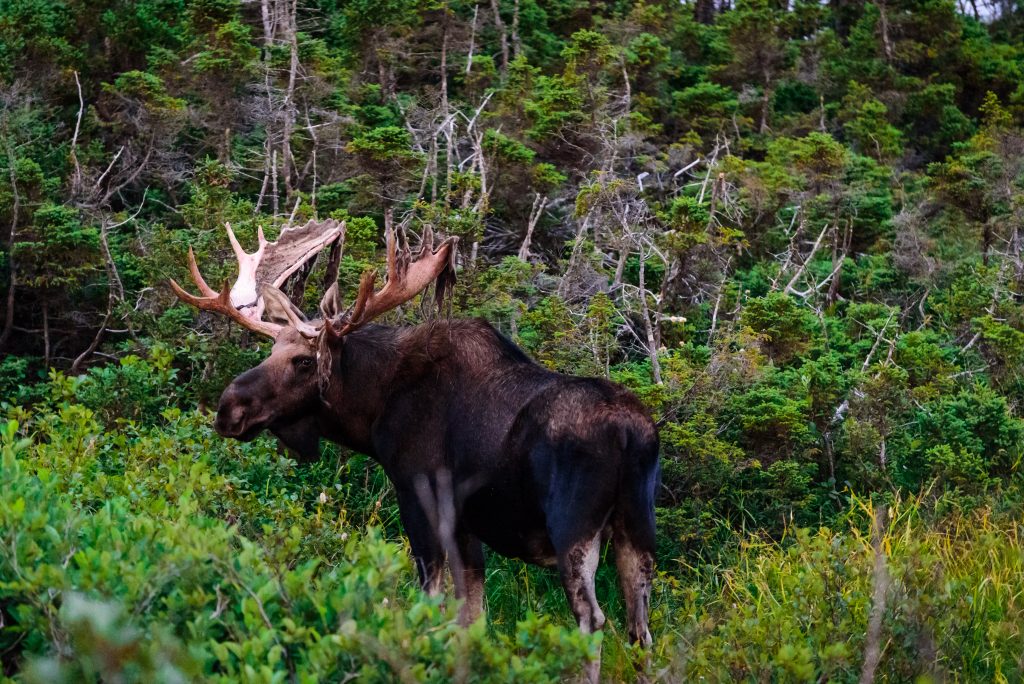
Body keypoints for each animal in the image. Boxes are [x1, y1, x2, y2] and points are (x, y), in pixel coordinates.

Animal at [171, 219, 659, 655]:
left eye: (304, 361)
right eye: (271, 350)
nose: (228, 408)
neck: (373, 410)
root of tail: (632, 436)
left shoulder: (419, 494)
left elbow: (430, 600)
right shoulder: (465, 523)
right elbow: (471, 614)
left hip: (573, 527)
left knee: (592, 619)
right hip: (637, 528)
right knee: (640, 628)